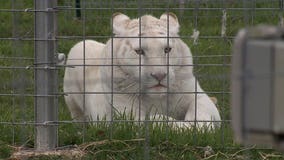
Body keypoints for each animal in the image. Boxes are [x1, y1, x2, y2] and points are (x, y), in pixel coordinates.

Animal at [63, 13, 221, 129]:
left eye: (167, 49)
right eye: (139, 51)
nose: (159, 75)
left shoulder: (200, 97)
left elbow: (201, 113)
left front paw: (198, 128)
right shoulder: (126, 113)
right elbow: (158, 119)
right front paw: (184, 128)